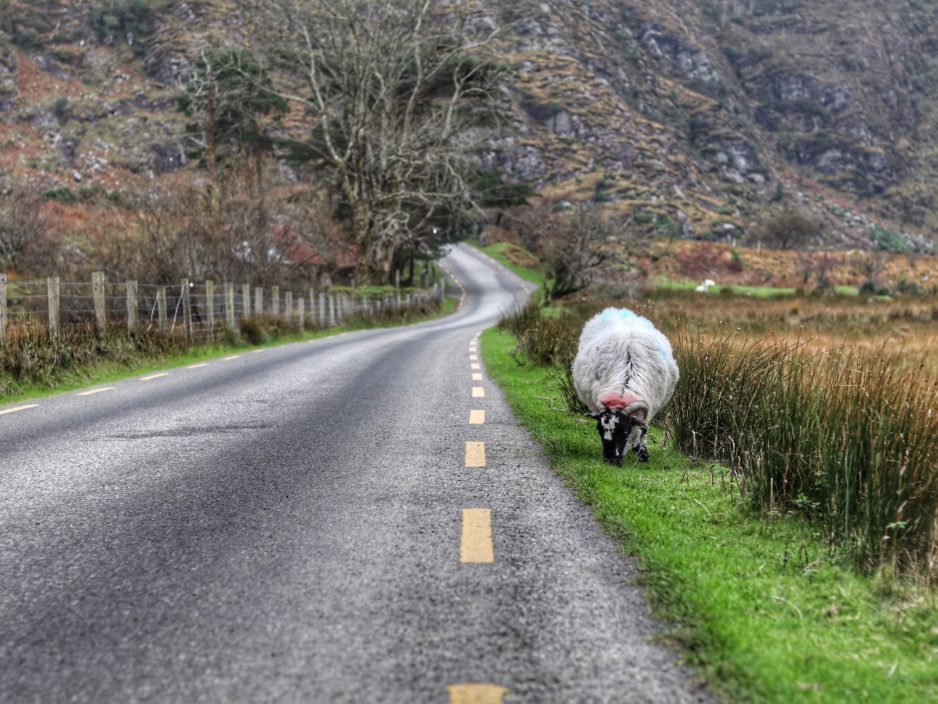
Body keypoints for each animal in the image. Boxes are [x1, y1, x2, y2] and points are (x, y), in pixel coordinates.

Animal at [572, 306, 680, 462]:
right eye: (599, 430)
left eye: (624, 432)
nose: (611, 460)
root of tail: (617, 310)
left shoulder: (650, 406)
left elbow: (643, 430)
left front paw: (643, 453)